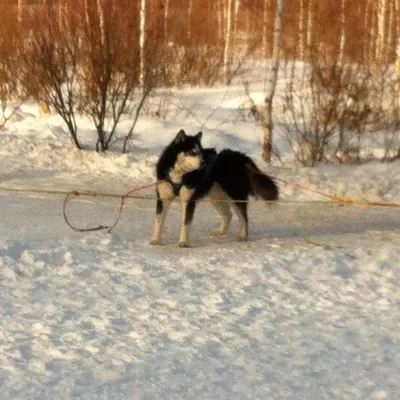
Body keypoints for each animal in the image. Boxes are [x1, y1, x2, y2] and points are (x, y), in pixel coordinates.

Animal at [150, 130, 278, 247]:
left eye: (201, 153)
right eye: (192, 152)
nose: (203, 163)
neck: (179, 176)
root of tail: (238, 155)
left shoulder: (188, 201)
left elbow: (185, 223)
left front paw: (183, 242)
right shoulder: (163, 199)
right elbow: (158, 221)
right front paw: (156, 240)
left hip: (236, 196)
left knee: (244, 218)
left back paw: (242, 236)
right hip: (216, 197)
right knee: (228, 215)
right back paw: (221, 231)